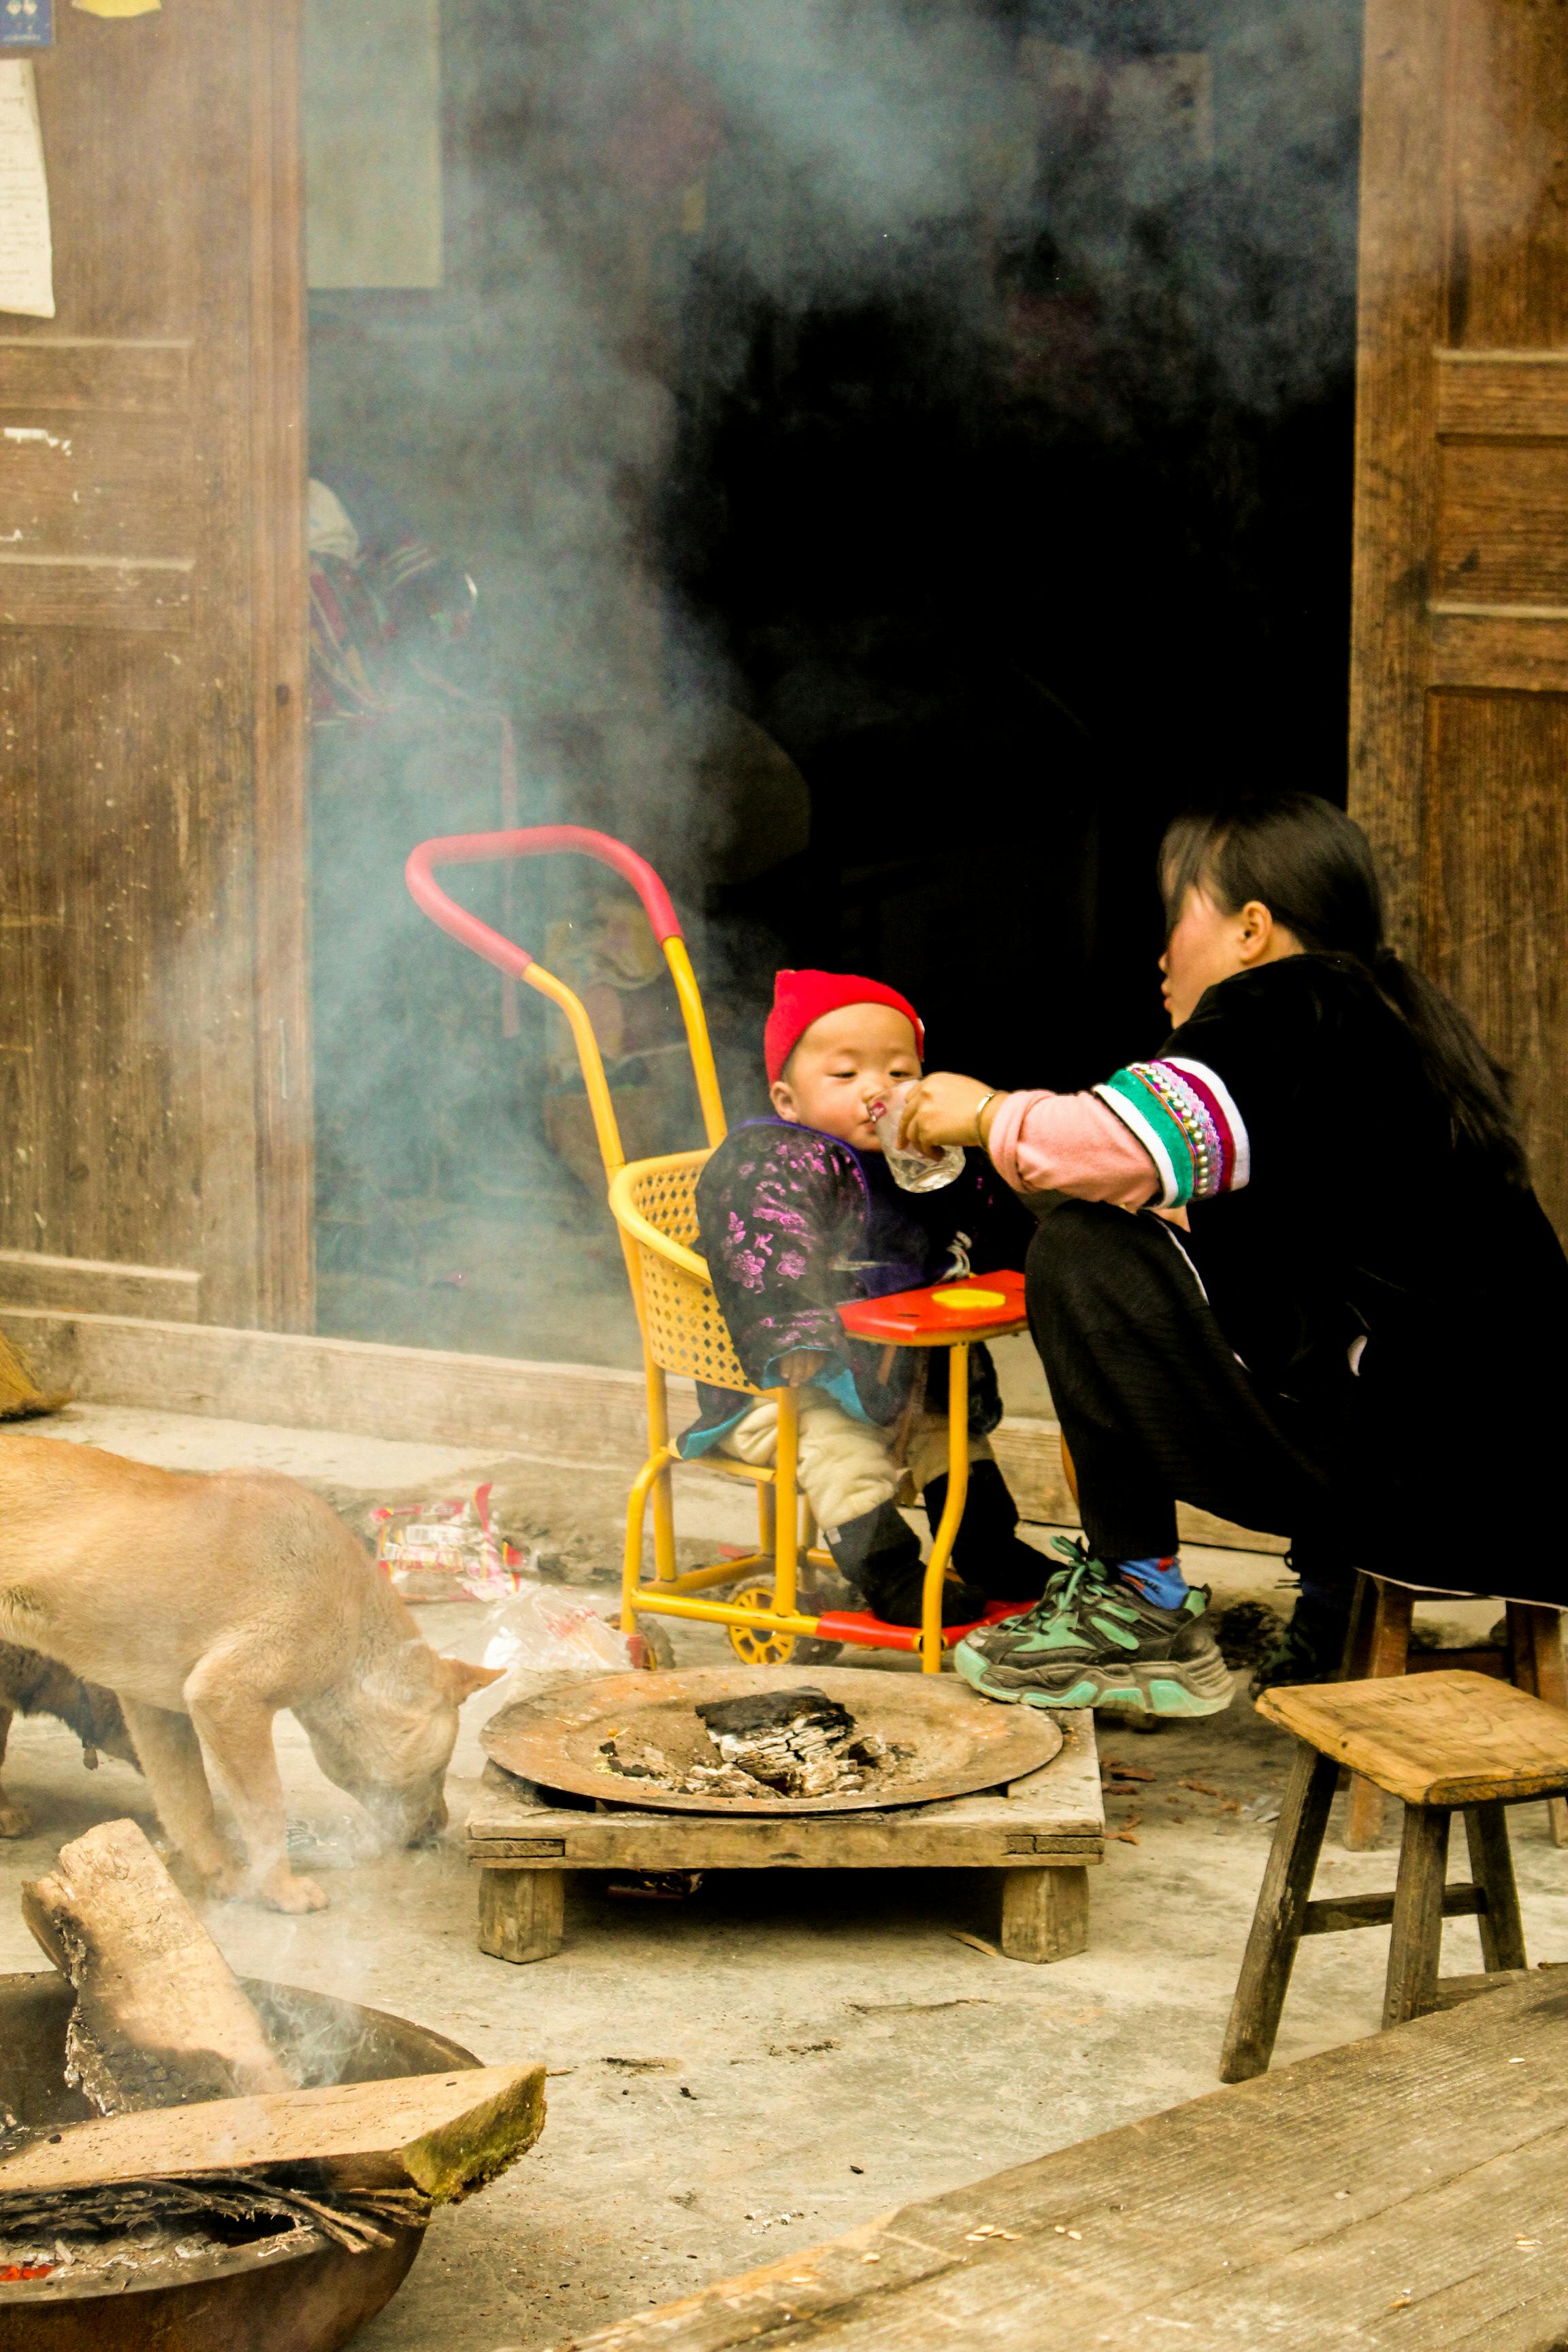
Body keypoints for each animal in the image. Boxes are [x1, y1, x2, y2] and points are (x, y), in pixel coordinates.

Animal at [0, 1430, 500, 1910]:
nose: (440, 1825)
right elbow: (264, 1812)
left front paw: (226, 1881)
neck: (356, 1620)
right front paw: (281, 1891)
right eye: (441, 1768)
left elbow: (189, 1804)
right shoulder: (226, 1696)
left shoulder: (157, 1708)